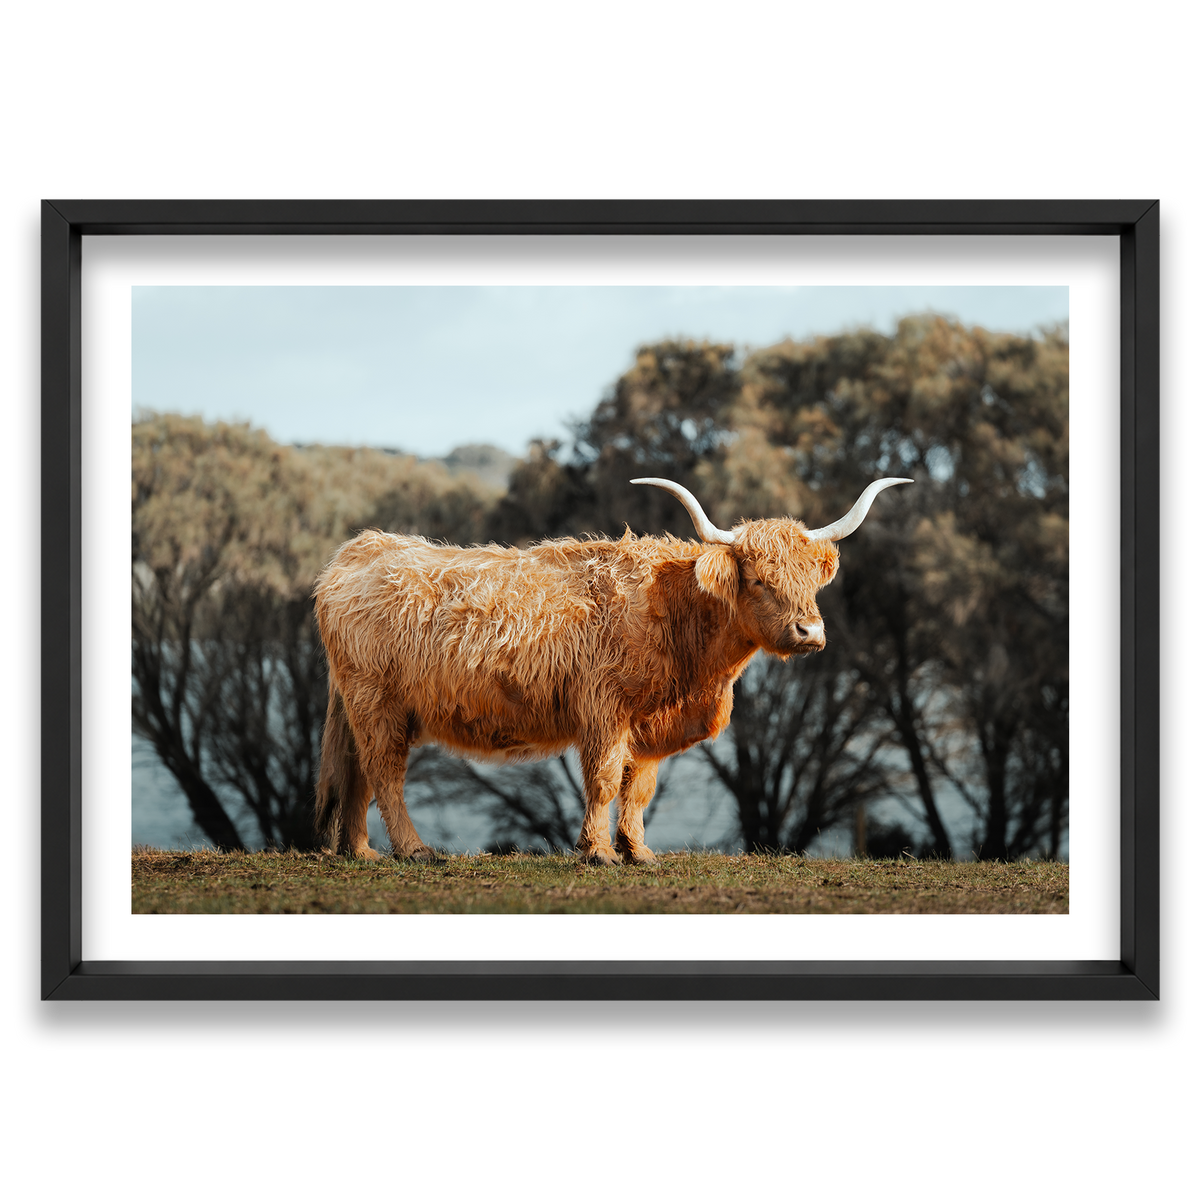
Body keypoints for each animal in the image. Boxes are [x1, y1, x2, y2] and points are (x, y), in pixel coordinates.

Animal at [313, 476, 911, 865]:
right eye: (761, 580)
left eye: (811, 579)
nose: (810, 632)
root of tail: (359, 549)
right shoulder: (604, 709)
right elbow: (602, 780)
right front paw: (598, 852)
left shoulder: (647, 723)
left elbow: (638, 787)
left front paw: (638, 851)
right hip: (378, 702)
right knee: (384, 773)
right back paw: (414, 851)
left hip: (364, 706)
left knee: (357, 774)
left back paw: (361, 852)